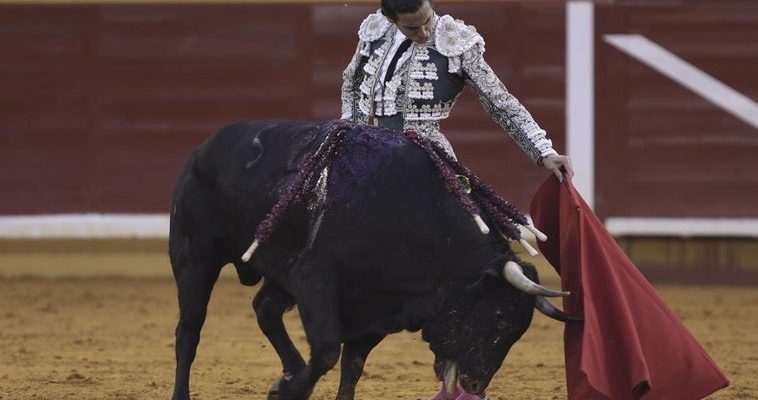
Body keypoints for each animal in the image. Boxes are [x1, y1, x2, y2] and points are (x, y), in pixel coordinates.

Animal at [172, 120, 572, 400]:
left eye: (520, 330)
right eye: (500, 316)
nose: (475, 384)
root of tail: (203, 149)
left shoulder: (379, 309)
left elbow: (351, 367)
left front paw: (291, 382)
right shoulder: (315, 280)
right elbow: (328, 352)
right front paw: (284, 391)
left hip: (276, 272)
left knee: (264, 309)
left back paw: (291, 368)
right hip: (194, 259)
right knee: (189, 330)